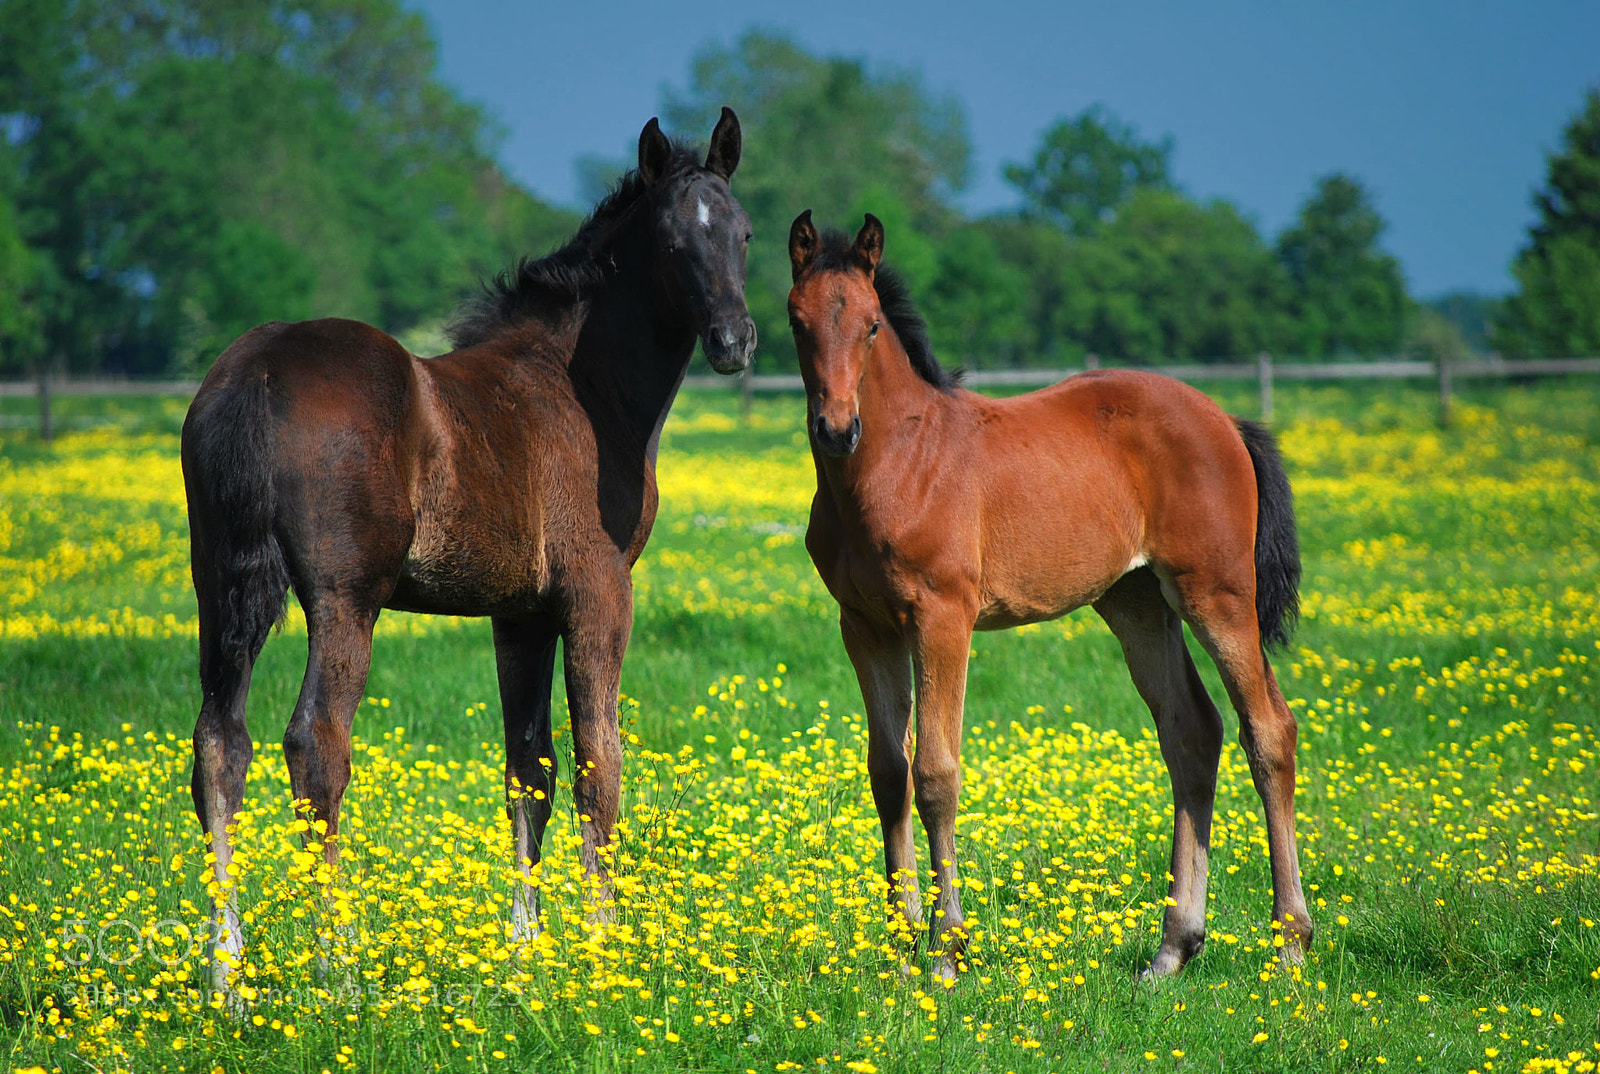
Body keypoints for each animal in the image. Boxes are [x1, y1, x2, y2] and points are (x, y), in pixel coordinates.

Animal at [181, 109, 755, 989]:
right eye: (670, 242)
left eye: (744, 234)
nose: (734, 340)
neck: (581, 389)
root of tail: (256, 371)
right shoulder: (598, 594)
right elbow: (598, 764)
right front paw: (604, 943)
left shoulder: (520, 614)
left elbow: (529, 767)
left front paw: (526, 945)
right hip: (344, 600)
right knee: (315, 746)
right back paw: (335, 959)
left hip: (218, 589)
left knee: (220, 744)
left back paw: (227, 969)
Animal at [785, 211, 1312, 980]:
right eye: (797, 321)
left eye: (873, 325)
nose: (835, 428)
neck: (899, 462)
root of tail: (1225, 421)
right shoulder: (865, 625)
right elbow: (888, 773)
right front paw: (900, 946)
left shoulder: (942, 617)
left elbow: (936, 772)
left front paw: (946, 953)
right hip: (1136, 603)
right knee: (1192, 732)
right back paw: (1172, 949)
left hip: (1215, 593)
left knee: (1267, 729)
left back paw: (1290, 943)